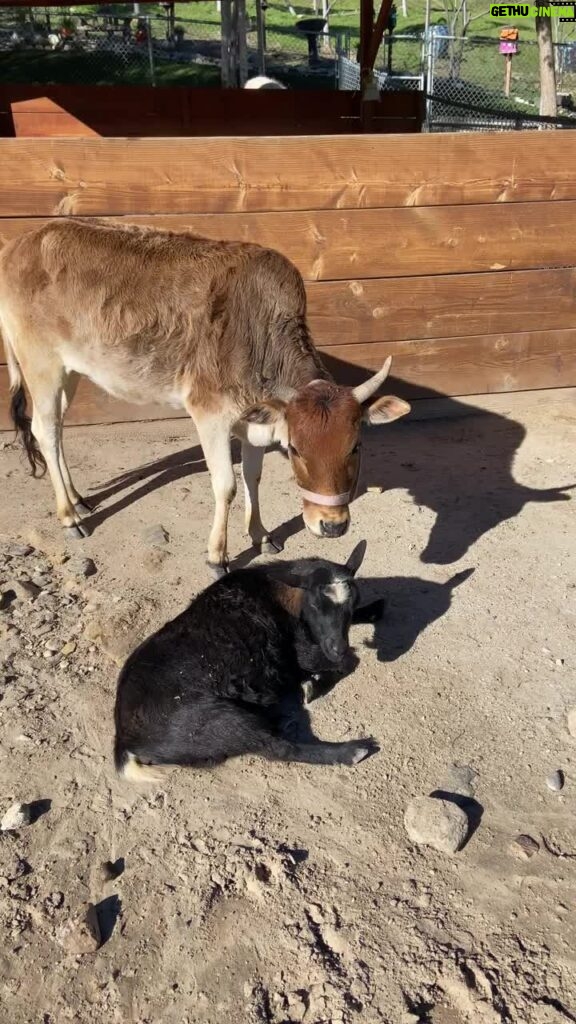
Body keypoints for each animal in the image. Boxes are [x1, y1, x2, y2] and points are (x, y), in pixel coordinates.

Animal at [0, 219, 407, 569]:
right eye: (295, 449)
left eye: (355, 446)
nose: (332, 524)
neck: (255, 333)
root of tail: (21, 242)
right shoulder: (209, 414)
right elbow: (226, 485)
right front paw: (217, 555)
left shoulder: (254, 420)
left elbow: (252, 477)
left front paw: (260, 534)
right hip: (42, 365)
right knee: (44, 431)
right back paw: (69, 517)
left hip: (70, 372)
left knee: (57, 430)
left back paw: (78, 500)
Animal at [112, 540, 383, 778]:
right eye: (315, 605)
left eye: (353, 603)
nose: (338, 647)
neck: (278, 593)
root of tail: (124, 741)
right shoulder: (303, 653)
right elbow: (348, 663)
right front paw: (314, 685)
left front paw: (373, 609)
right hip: (222, 722)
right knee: (278, 748)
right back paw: (352, 750)